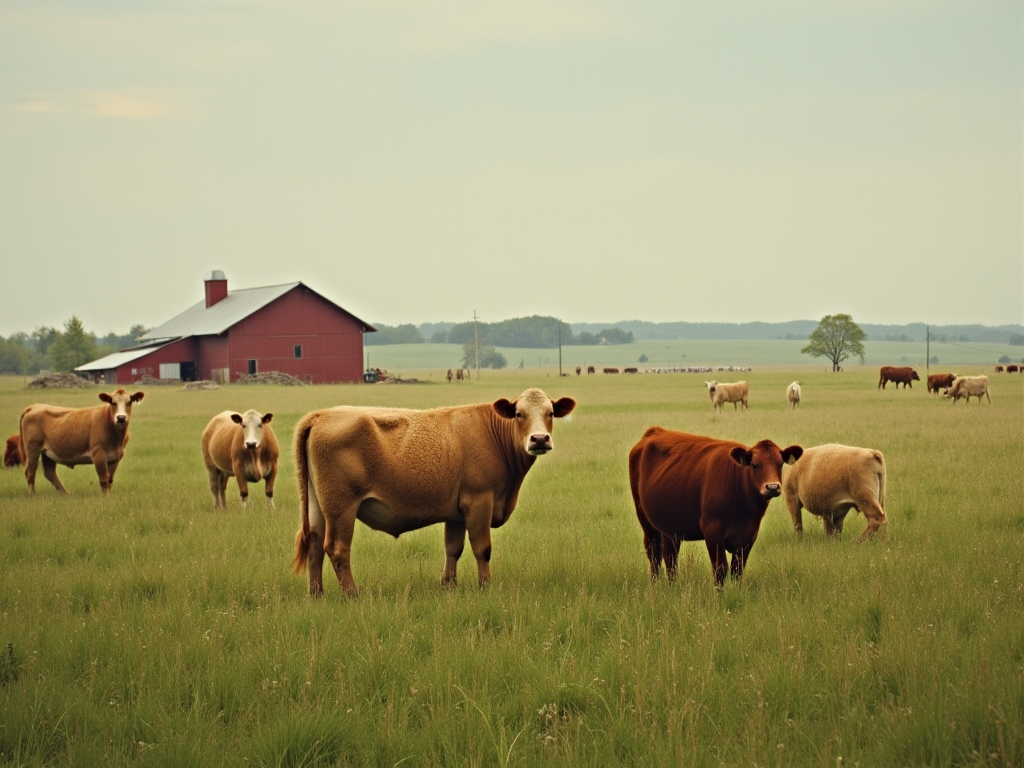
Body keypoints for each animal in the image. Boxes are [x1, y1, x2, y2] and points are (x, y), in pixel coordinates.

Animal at [290, 387, 577, 598]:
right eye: (519, 413)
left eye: (551, 412)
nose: (539, 439)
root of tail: (321, 415)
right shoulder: (479, 501)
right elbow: (482, 548)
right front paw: (485, 587)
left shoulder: (457, 512)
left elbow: (453, 548)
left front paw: (448, 585)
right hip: (341, 507)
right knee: (337, 548)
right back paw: (352, 594)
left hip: (317, 505)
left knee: (314, 543)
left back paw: (316, 594)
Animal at [626, 430, 802, 585]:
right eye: (754, 464)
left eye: (780, 464)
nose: (772, 487)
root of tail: (654, 432)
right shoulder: (712, 531)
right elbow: (720, 570)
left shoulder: (749, 536)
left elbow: (737, 571)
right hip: (646, 521)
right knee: (654, 555)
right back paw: (655, 586)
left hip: (670, 528)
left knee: (670, 557)